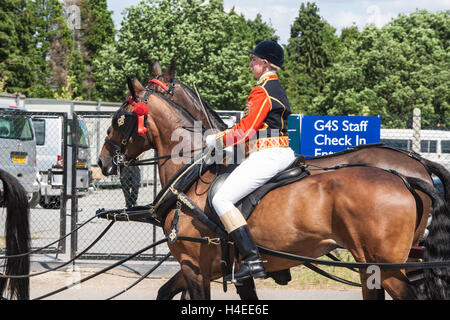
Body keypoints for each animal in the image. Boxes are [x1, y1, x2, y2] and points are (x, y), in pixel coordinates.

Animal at [98, 77, 450, 300]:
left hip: (387, 268)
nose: (103, 161)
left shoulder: (194, 266)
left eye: (119, 119)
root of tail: (410, 171)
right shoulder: (216, 271)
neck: (193, 177)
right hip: (373, 268)